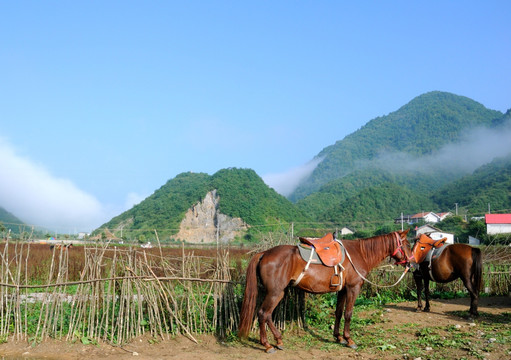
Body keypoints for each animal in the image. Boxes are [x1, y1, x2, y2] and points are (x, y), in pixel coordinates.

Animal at [239, 231, 412, 352]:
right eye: (408, 244)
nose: (412, 263)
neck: (360, 254)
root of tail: (264, 253)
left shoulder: (342, 290)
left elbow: (339, 312)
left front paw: (338, 337)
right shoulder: (353, 288)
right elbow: (348, 314)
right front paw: (349, 340)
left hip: (278, 292)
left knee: (267, 315)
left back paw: (279, 341)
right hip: (275, 293)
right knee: (263, 314)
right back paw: (268, 345)